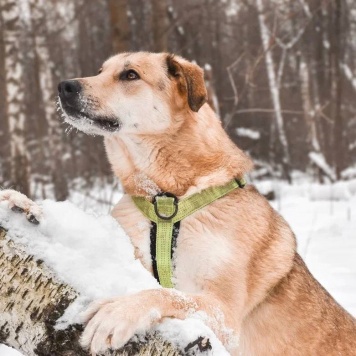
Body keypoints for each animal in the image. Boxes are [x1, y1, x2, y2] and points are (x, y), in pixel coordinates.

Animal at [1, 51, 354, 354]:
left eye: (130, 74)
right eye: (100, 71)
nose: (64, 86)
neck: (168, 199)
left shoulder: (224, 315)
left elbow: (168, 293)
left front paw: (120, 311)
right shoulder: (132, 250)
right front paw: (25, 205)